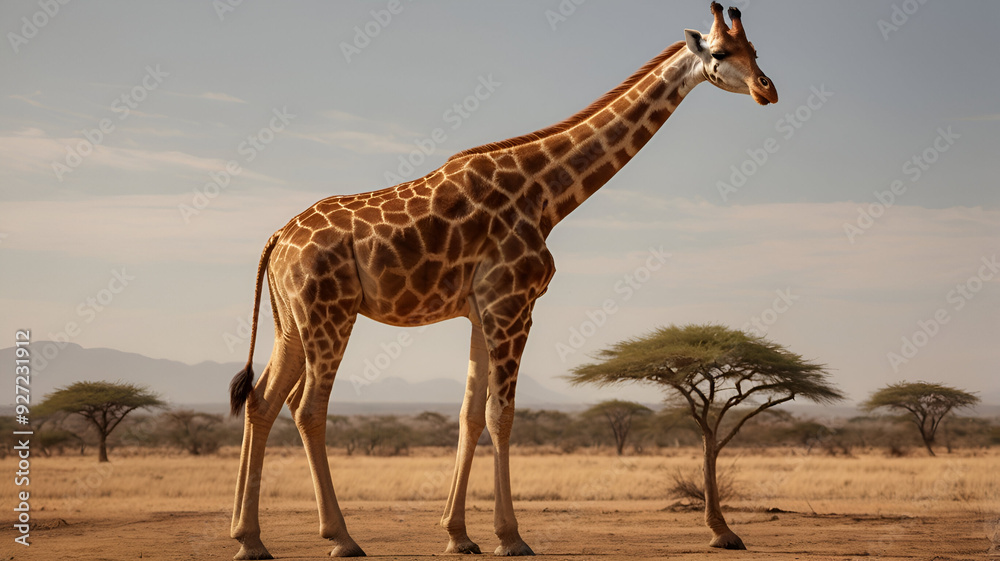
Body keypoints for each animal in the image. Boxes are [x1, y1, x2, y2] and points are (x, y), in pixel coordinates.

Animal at [229, 3, 777, 558]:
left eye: (756, 50)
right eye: (722, 52)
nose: (767, 89)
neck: (548, 193)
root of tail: (277, 238)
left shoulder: (481, 311)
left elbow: (471, 416)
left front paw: (458, 534)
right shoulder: (513, 305)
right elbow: (502, 416)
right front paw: (511, 536)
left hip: (291, 322)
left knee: (262, 401)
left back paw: (249, 538)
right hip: (330, 313)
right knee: (308, 409)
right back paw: (340, 537)